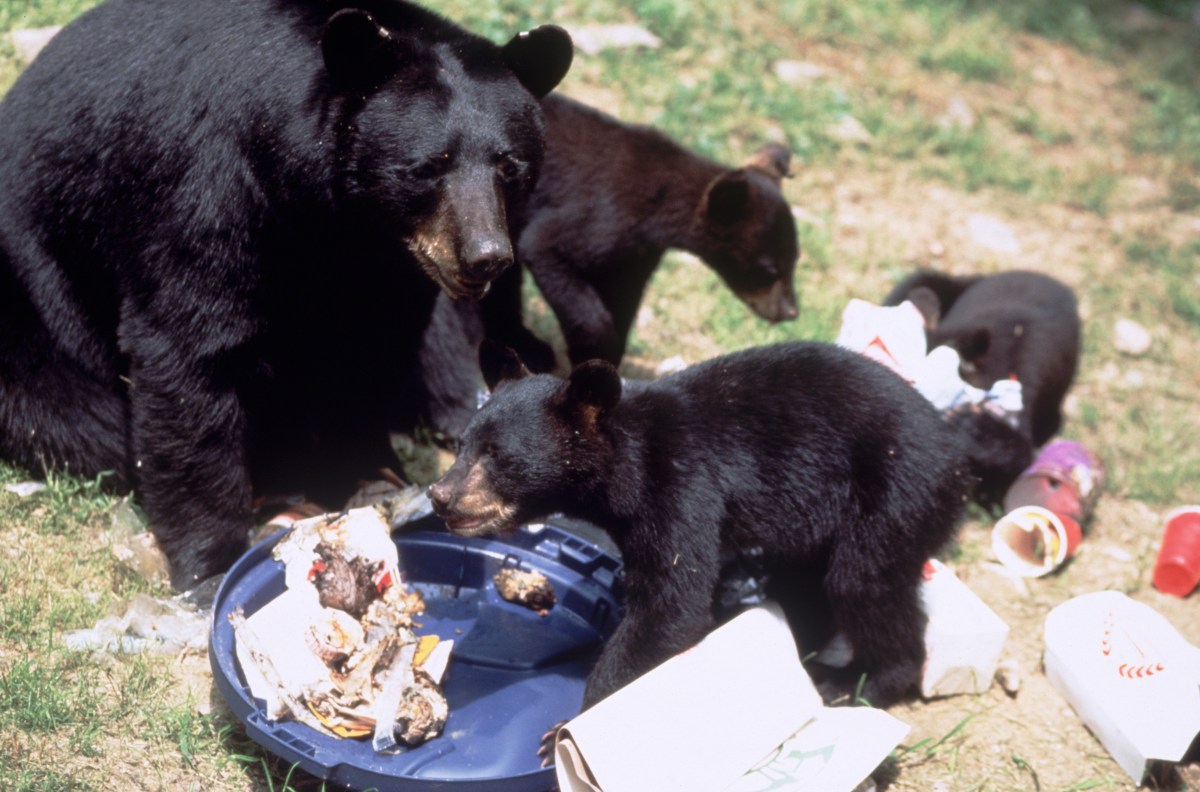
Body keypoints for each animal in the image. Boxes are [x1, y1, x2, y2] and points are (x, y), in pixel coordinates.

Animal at [0, 0, 573, 589]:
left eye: (510, 165)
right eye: (429, 166)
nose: (486, 255)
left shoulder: (389, 262)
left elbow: (370, 345)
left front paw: (368, 473)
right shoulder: (206, 188)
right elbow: (187, 352)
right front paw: (210, 562)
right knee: (77, 417)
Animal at [428, 340, 973, 712]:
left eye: (498, 456)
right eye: (462, 444)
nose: (440, 495)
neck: (627, 464)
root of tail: (959, 464)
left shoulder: (681, 487)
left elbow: (672, 605)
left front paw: (572, 725)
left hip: (892, 495)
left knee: (864, 583)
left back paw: (859, 683)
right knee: (809, 584)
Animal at [480, 93, 802, 372]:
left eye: (796, 259)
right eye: (769, 268)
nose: (791, 312)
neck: (658, 207)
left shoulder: (637, 254)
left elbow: (624, 297)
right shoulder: (600, 217)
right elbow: (544, 247)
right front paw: (593, 351)